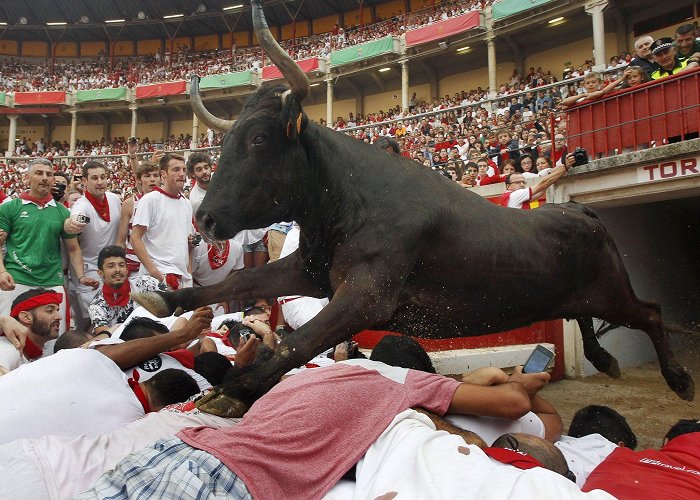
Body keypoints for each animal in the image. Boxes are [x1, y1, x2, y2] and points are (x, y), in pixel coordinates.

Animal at [133, 88, 696, 416]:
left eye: (257, 139)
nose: (205, 219)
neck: (343, 197)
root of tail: (582, 211)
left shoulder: (367, 294)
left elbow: (300, 341)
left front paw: (234, 389)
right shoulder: (310, 269)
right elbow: (241, 282)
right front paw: (168, 299)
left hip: (612, 291)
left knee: (651, 312)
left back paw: (679, 379)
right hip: (577, 296)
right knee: (590, 318)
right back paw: (605, 359)